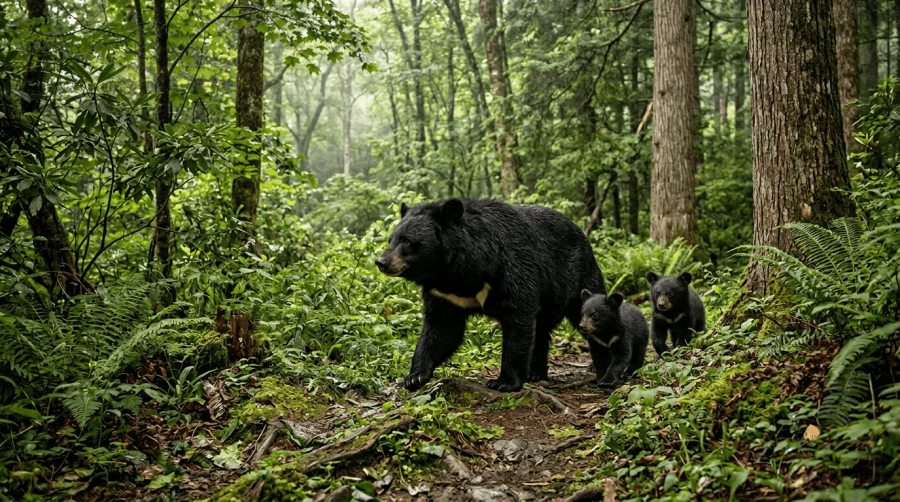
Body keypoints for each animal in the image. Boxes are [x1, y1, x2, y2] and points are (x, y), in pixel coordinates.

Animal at [375, 198, 607, 393]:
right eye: (390, 239)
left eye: (406, 241)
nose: (381, 262)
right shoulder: (445, 295)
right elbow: (442, 329)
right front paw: (414, 377)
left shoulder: (511, 270)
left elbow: (517, 321)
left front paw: (504, 382)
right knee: (541, 330)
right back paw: (535, 373)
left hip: (578, 277)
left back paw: (597, 366)